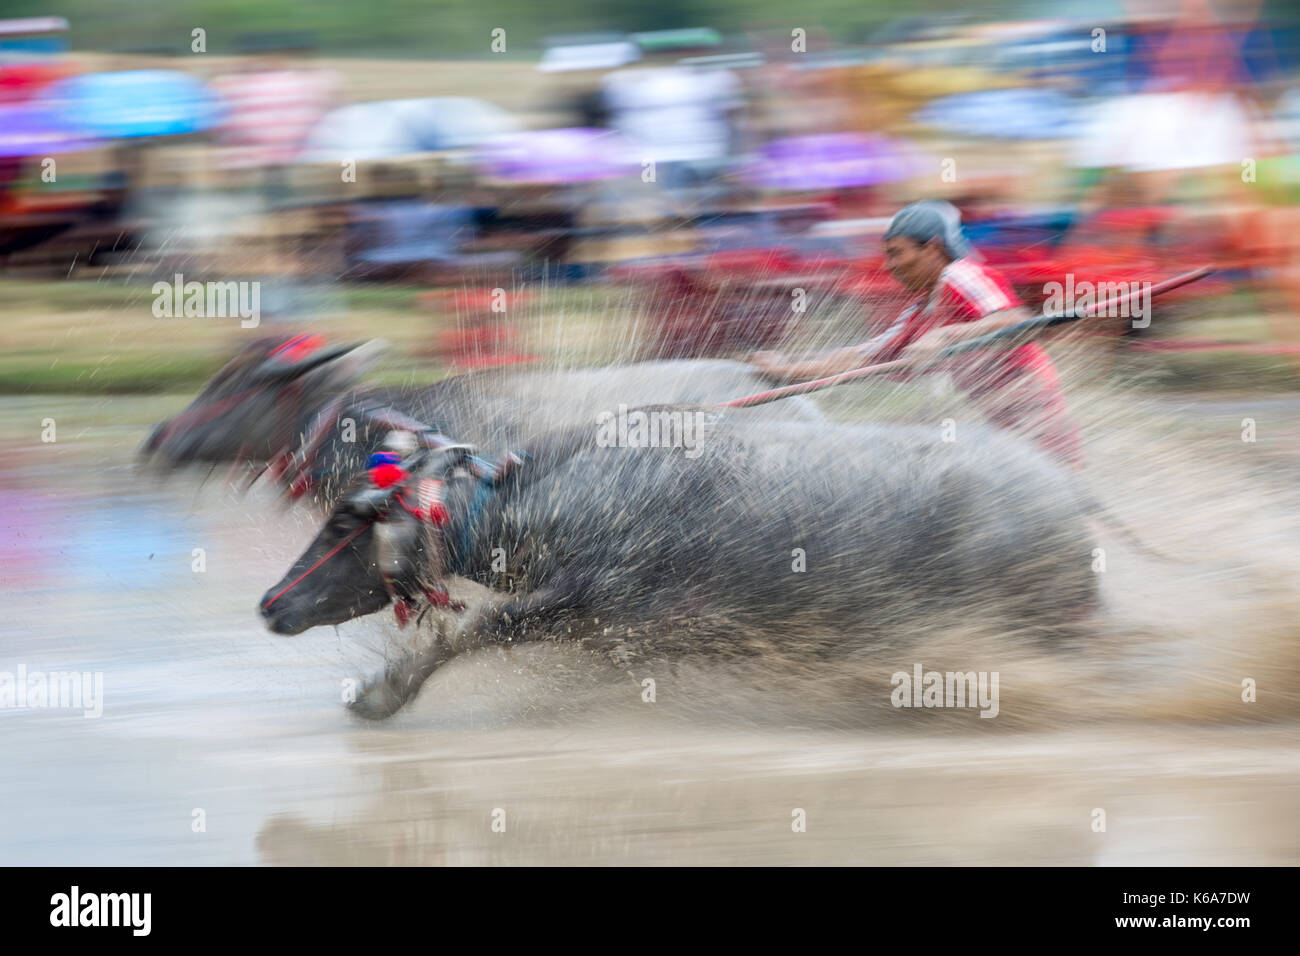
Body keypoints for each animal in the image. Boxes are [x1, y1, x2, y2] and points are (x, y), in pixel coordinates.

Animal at [261, 416, 1097, 723]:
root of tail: (1069, 498)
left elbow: (475, 632)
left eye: (346, 521)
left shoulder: (590, 602)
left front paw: (383, 692)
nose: (270, 602)